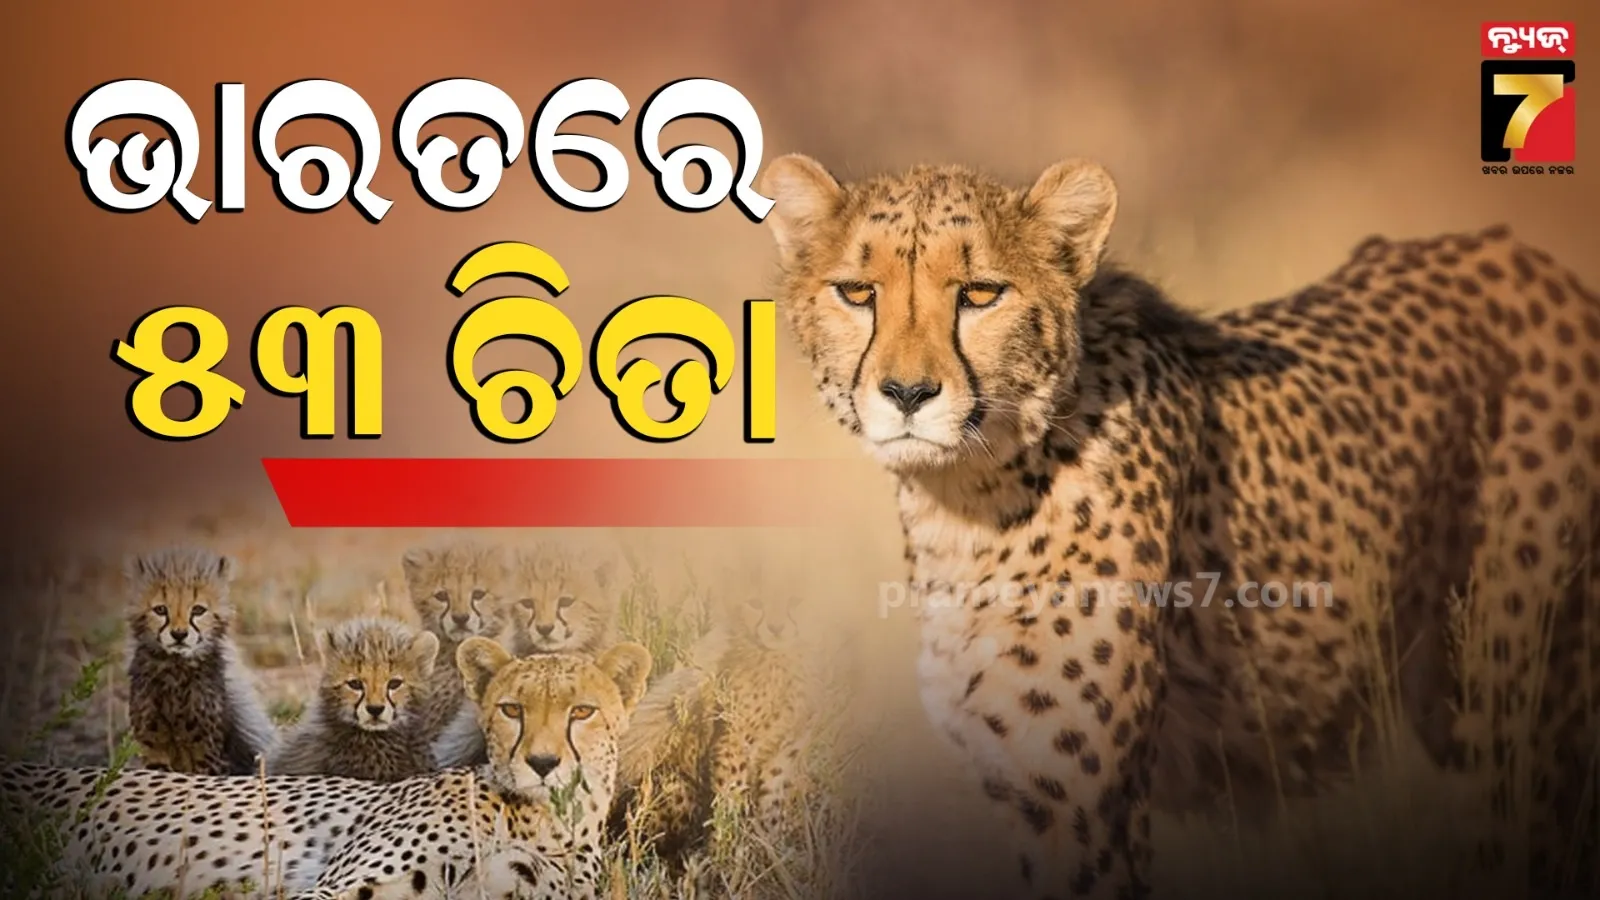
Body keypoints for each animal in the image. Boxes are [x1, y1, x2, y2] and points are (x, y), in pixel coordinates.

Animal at [124, 546, 278, 776]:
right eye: (160, 610)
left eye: (198, 610)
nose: (179, 634)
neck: (175, 669)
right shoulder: (153, 744)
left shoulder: (207, 752)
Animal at [757, 152, 1600, 899]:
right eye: (857, 291)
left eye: (981, 293)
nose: (906, 393)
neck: (969, 502)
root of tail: (1525, 257)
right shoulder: (1016, 787)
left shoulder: (1080, 807)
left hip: (1517, 706)